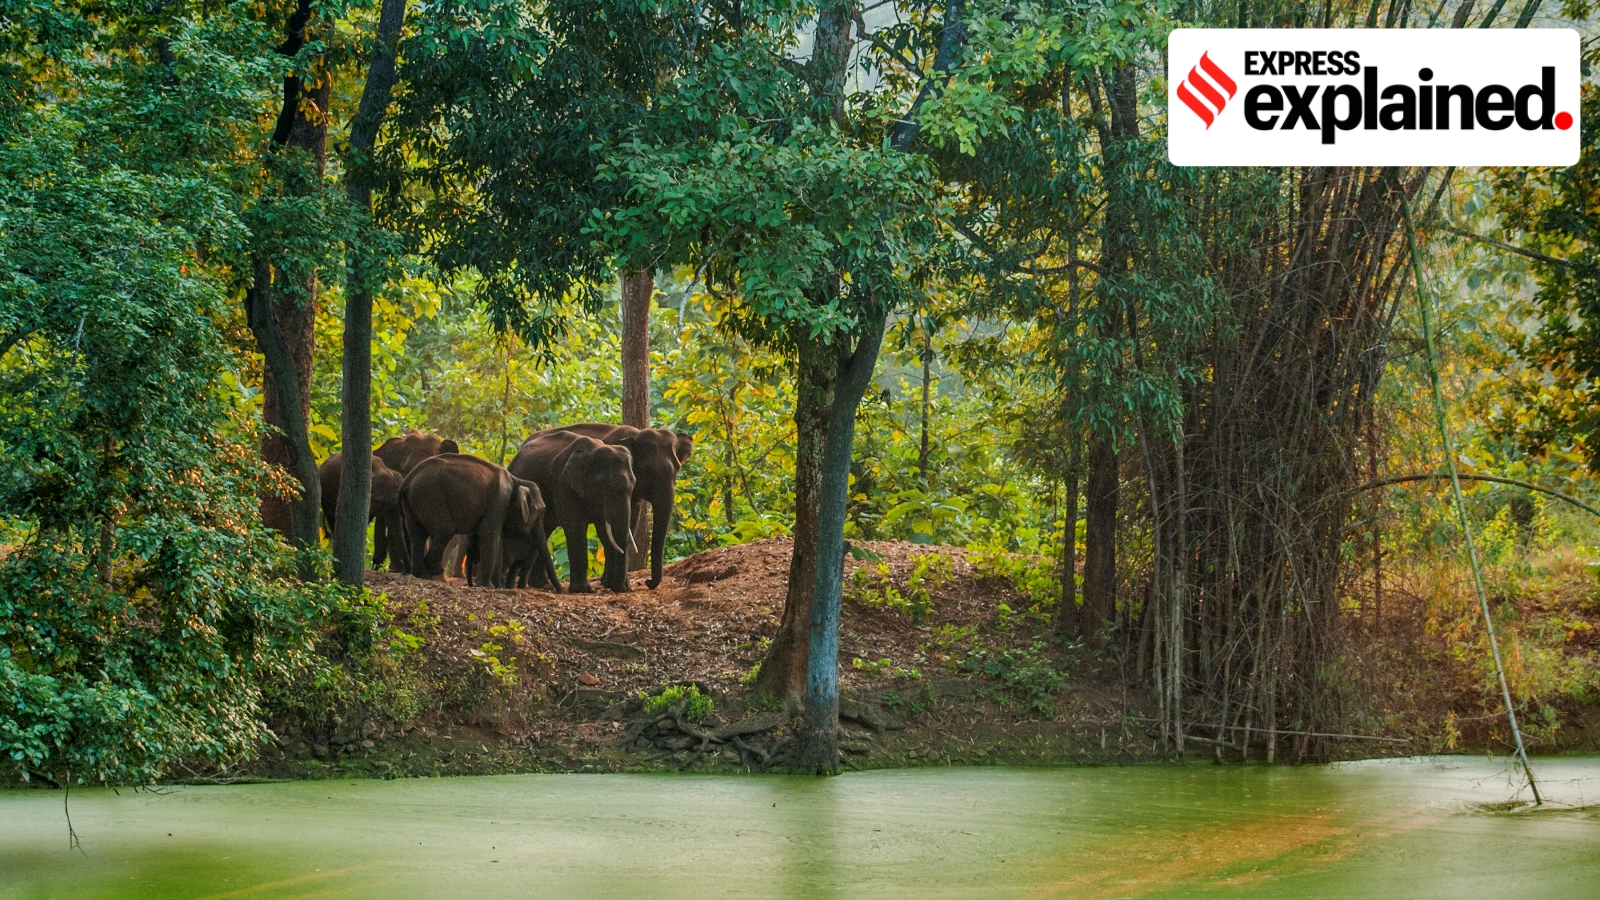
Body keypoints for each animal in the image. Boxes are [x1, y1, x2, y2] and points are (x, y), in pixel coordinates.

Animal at [398, 453, 556, 589]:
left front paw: (495, 585)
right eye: (540, 513)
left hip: (413, 502)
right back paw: (433, 571)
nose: (558, 590)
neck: (517, 480)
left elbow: (498, 539)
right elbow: (489, 534)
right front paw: (488, 586)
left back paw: (421, 574)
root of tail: (408, 479)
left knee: (417, 536)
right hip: (430, 495)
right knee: (444, 532)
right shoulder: (500, 499)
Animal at [509, 431, 636, 593]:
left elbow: (604, 530)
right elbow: (575, 527)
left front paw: (618, 586)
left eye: (633, 485)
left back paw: (542, 584)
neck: (593, 450)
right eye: (604, 485)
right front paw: (583, 590)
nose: (622, 588)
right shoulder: (564, 484)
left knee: (545, 531)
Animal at [540, 423, 693, 589]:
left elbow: (631, 523)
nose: (647, 582)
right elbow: (607, 531)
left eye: (678, 468)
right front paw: (611, 583)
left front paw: (614, 583)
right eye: (648, 471)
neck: (636, 434)